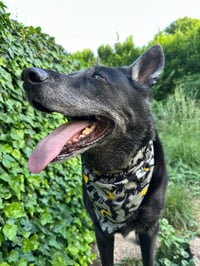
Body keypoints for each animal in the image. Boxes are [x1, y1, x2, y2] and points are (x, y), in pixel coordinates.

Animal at [22, 45, 167, 266]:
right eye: (71, 73)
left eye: (97, 77)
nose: (28, 75)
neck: (116, 174)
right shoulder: (101, 231)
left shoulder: (150, 230)